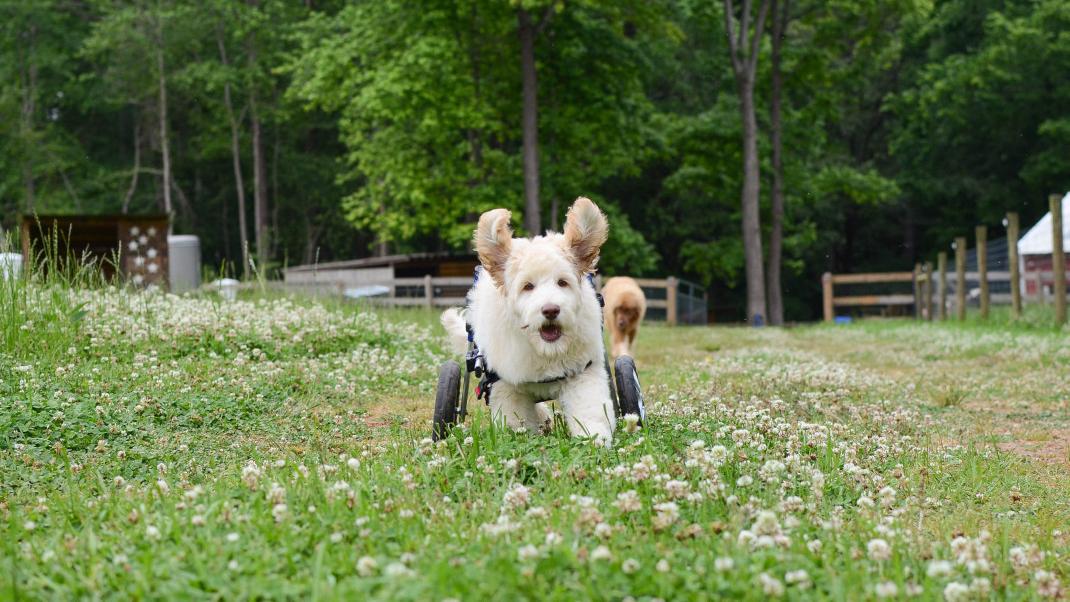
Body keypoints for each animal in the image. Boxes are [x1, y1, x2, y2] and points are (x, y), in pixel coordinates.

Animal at [438, 196, 616, 442]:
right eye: (528, 286)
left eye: (562, 282)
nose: (550, 310)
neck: (545, 350)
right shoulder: (506, 387)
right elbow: (517, 424)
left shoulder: (582, 374)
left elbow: (590, 411)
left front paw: (595, 440)